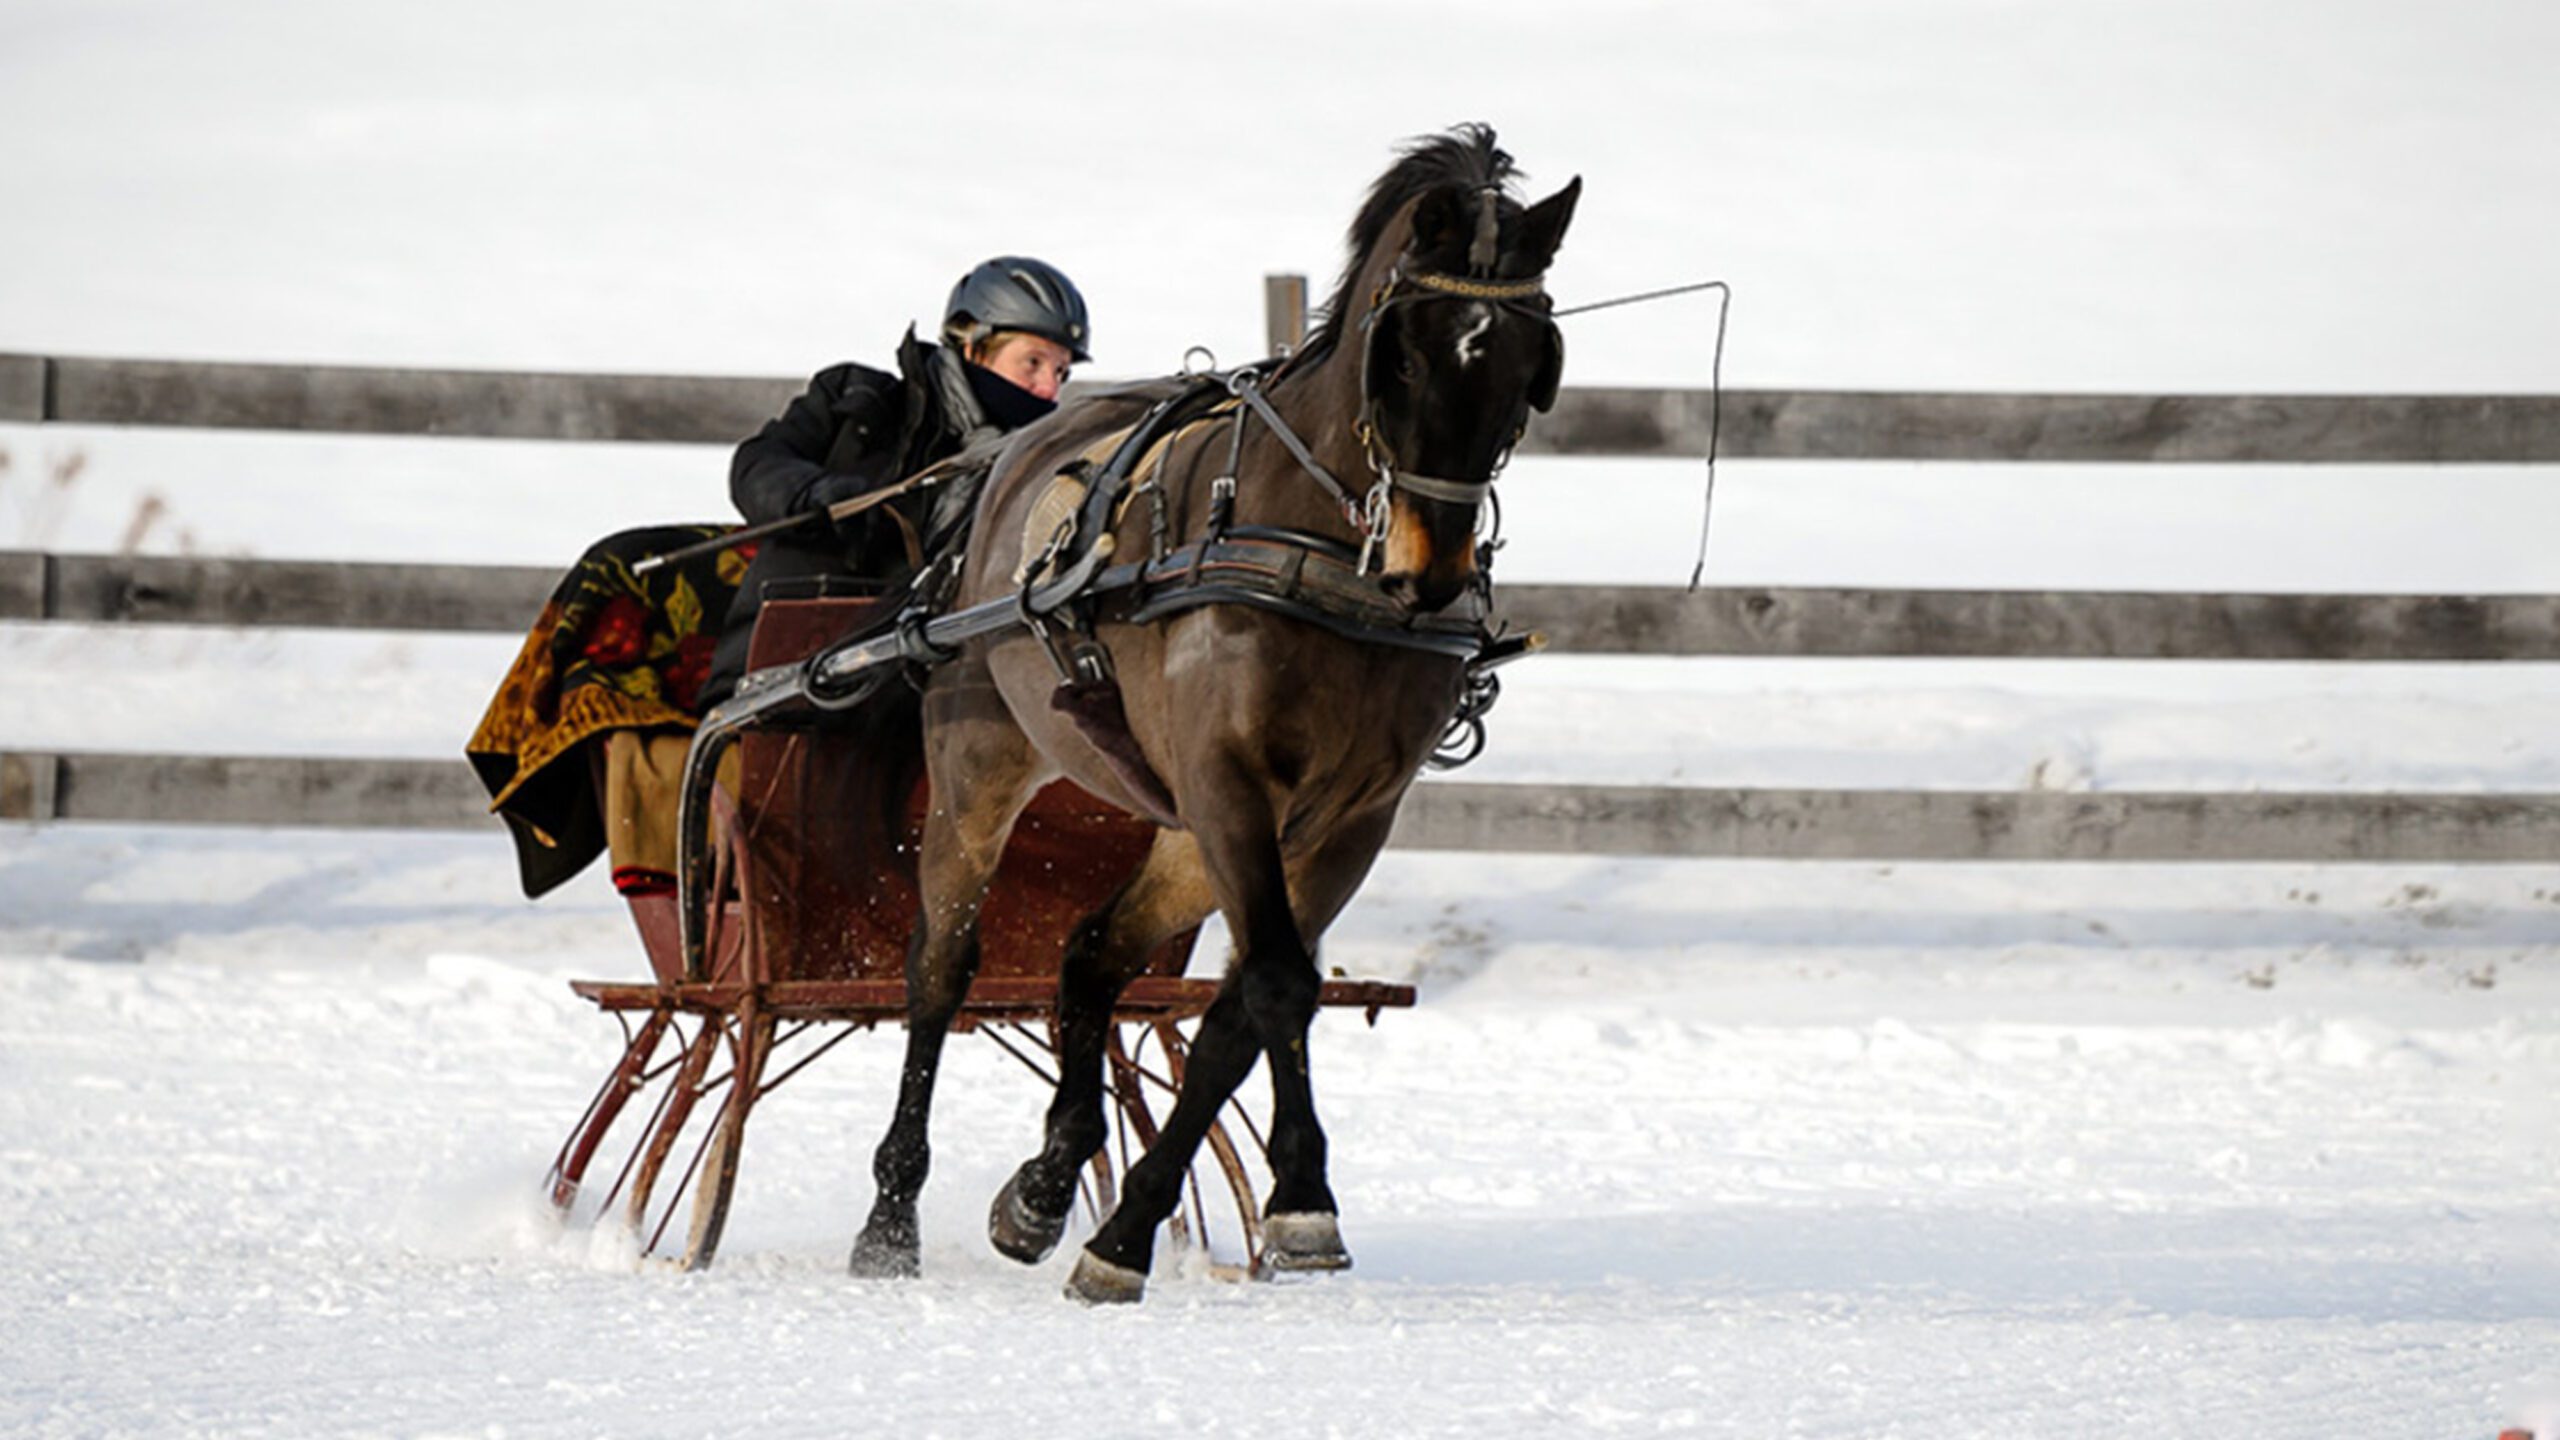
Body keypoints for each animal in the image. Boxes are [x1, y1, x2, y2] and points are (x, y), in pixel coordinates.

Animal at [845, 124, 1579, 1303]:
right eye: (1404, 357)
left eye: (1529, 365)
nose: (1430, 571)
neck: (1322, 550)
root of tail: (991, 472)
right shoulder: (1231, 778)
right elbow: (1274, 982)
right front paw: (1299, 1201)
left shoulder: (1348, 817)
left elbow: (1242, 1010)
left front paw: (1137, 1222)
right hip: (979, 769)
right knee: (939, 970)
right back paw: (890, 1217)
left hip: (1182, 826)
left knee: (1093, 953)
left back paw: (1045, 1184)